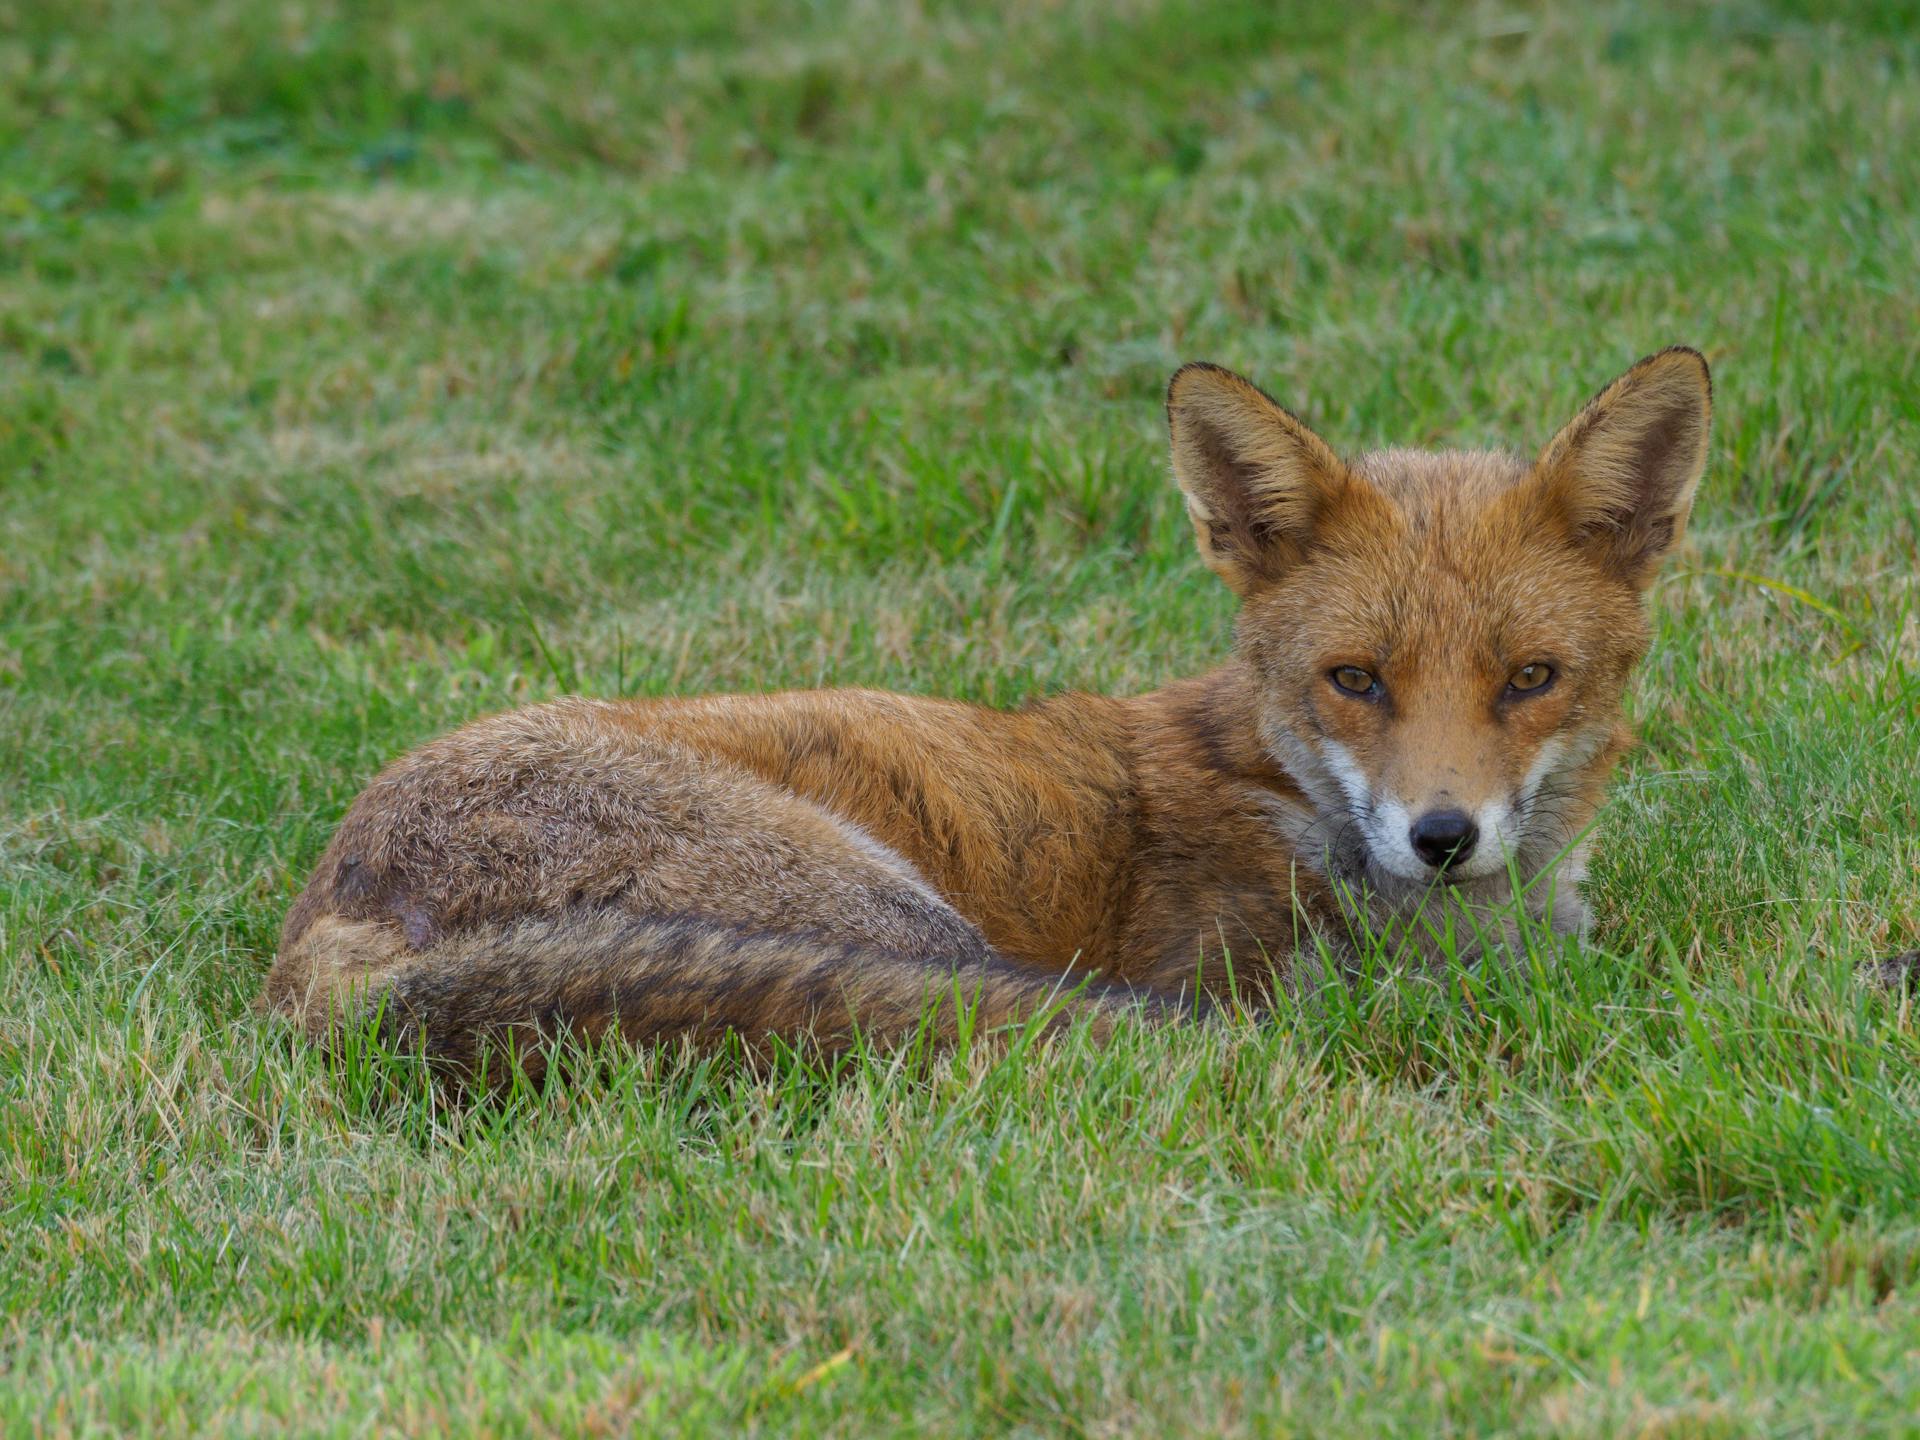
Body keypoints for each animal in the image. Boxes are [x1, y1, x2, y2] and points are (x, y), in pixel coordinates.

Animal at [263, 343, 1720, 1075]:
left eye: (1529, 679)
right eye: (1355, 679)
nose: (1442, 836)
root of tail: (327, 917)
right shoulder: (1227, 966)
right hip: (903, 924)